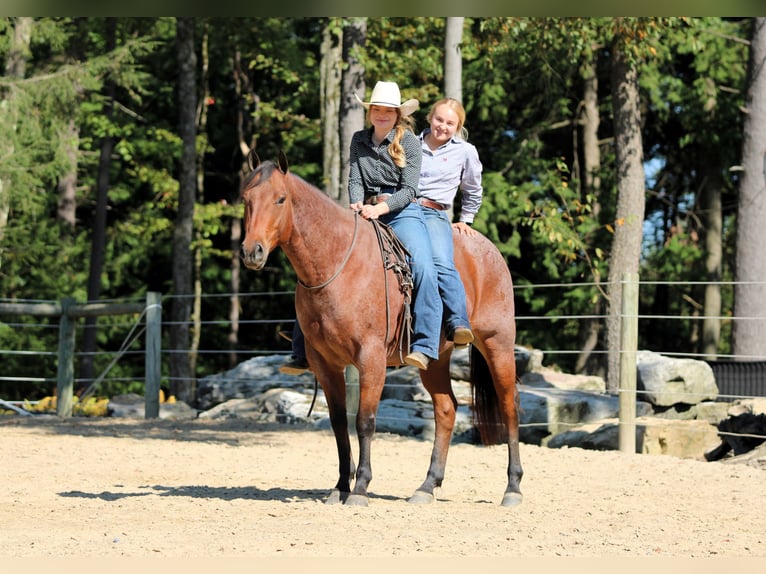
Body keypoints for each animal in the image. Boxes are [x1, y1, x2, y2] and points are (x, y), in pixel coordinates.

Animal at [240, 151, 523, 507]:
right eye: (246, 199)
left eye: (280, 199)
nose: (252, 251)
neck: (338, 262)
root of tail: (490, 251)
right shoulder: (325, 363)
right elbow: (338, 423)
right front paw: (340, 487)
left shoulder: (370, 358)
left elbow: (365, 421)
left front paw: (360, 488)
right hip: (435, 359)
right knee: (446, 409)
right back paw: (427, 486)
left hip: (498, 344)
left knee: (509, 405)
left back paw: (512, 488)